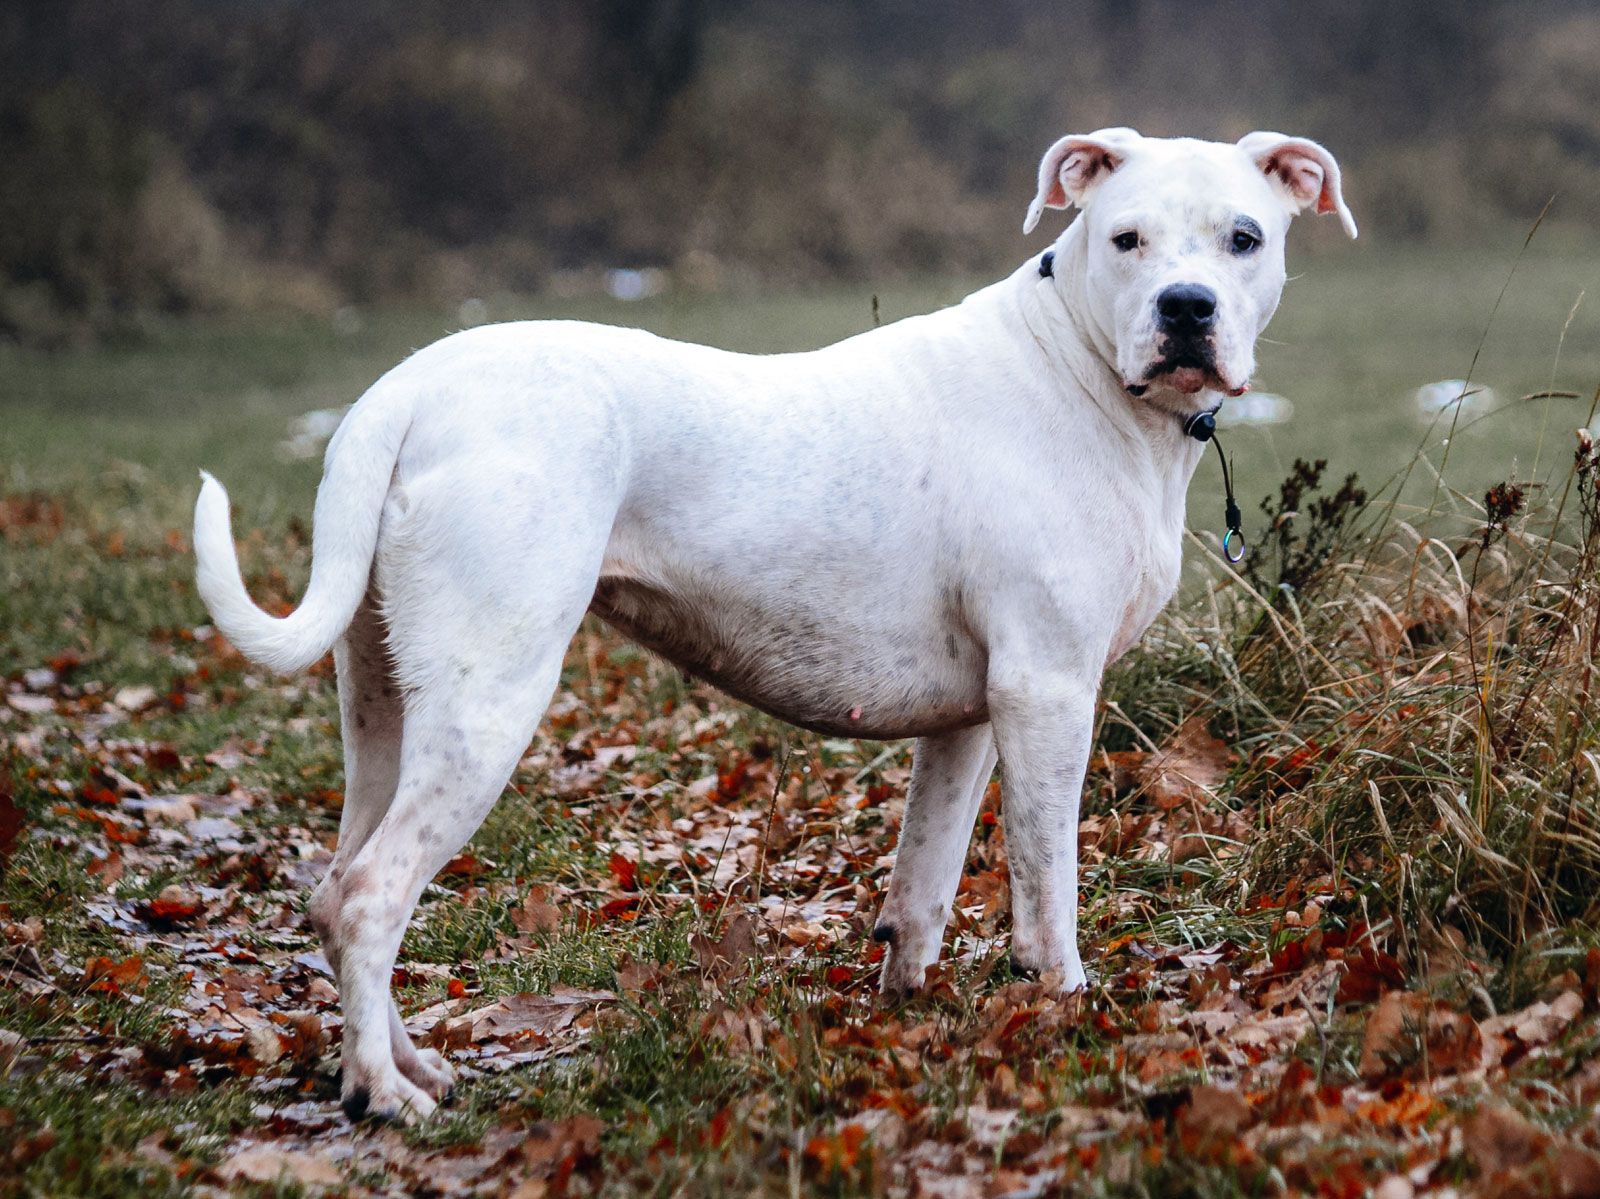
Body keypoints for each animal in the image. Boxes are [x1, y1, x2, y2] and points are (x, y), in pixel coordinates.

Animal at [193, 126, 1356, 1120]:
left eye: (1243, 239)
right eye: (1126, 239)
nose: (1187, 307)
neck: (1080, 365)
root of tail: (407, 388)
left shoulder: (972, 718)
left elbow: (925, 882)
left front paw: (909, 1010)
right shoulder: (1049, 691)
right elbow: (1045, 880)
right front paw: (1061, 1001)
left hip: (385, 704)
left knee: (338, 885)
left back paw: (399, 1062)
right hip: (489, 699)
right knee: (371, 895)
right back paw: (381, 1094)